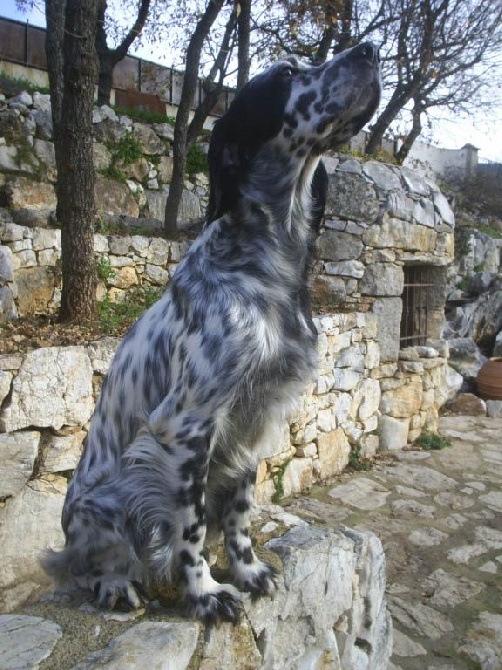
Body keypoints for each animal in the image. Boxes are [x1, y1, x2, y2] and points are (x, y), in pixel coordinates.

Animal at [44, 43, 380, 624]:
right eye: (286, 74)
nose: (369, 50)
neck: (265, 266)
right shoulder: (188, 425)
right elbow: (193, 528)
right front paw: (204, 593)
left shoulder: (252, 419)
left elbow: (239, 517)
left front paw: (246, 572)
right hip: (102, 505)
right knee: (87, 565)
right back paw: (115, 583)